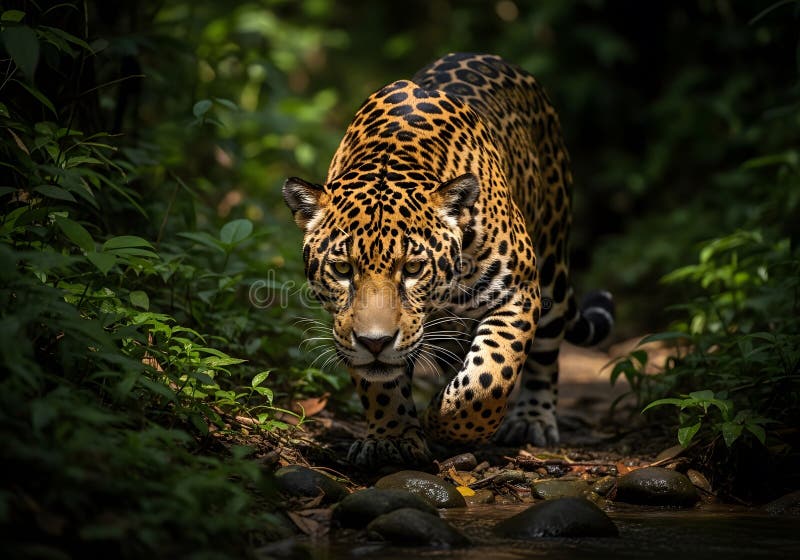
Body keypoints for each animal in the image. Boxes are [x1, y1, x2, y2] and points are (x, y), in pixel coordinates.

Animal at [283, 52, 614, 467]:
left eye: (412, 268)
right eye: (343, 269)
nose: (375, 342)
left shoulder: (517, 292)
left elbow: (489, 375)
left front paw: (441, 421)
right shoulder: (344, 324)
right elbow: (380, 384)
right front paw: (391, 436)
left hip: (553, 260)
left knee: (546, 352)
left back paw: (531, 420)